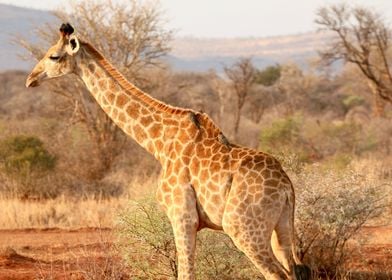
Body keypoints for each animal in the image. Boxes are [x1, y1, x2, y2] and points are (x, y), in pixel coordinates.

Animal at [26, 24, 310, 280]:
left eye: (54, 56)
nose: (31, 79)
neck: (158, 145)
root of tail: (287, 187)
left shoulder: (182, 216)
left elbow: (185, 273)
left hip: (243, 228)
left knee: (277, 274)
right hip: (281, 228)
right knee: (292, 270)